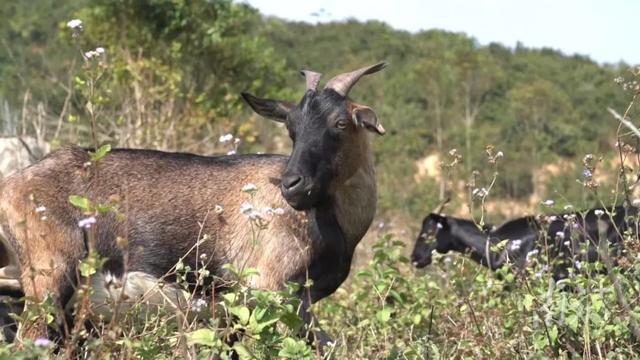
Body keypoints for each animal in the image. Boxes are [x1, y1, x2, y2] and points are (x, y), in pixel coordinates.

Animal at [0, 62, 384, 344]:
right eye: (291, 127)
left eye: (340, 122)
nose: (293, 184)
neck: (332, 221)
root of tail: (11, 185)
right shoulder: (271, 289)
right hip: (49, 277)